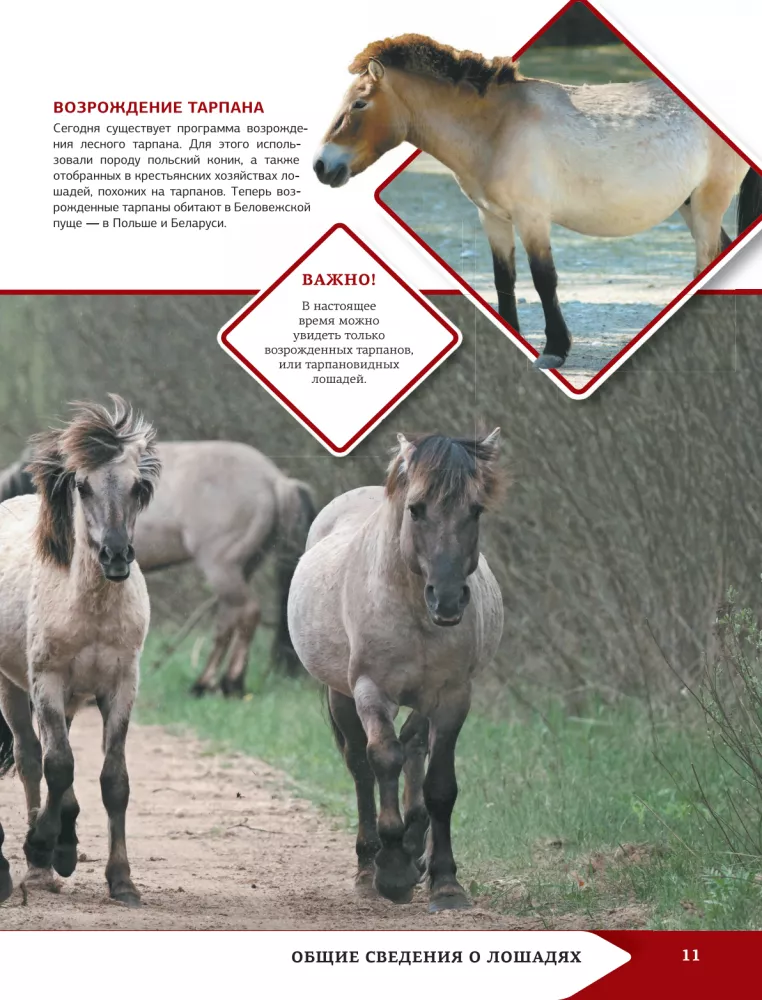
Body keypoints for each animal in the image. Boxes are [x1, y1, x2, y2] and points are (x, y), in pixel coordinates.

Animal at [0, 396, 161, 905]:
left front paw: (122, 880)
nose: (115, 555)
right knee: (32, 758)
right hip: (14, 689)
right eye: (83, 486)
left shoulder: (120, 686)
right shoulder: (47, 682)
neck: (90, 610)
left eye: (136, 487)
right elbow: (58, 766)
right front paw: (39, 847)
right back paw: (40, 867)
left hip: (72, 698)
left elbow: (114, 780)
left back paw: (63, 847)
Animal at [0, 440, 316, 697]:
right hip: (241, 568)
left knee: (247, 613)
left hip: (222, 567)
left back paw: (227, 683)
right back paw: (209, 683)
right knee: (230, 619)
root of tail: (276, 480)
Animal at [287, 430, 504, 912]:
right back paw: (370, 864)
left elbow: (439, 785)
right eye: (416, 509)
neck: (414, 610)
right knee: (362, 764)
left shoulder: (452, 696)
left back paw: (414, 844)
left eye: (475, 510)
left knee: (414, 746)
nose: (447, 599)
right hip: (341, 694)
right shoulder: (371, 690)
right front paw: (391, 872)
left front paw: (444, 881)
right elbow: (383, 758)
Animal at [314, 34, 762, 370]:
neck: (496, 127)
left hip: (708, 202)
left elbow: (544, 279)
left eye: (359, 103)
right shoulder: (493, 218)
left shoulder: (532, 219)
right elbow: (504, 278)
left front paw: (555, 349)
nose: (321, 166)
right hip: (691, 205)